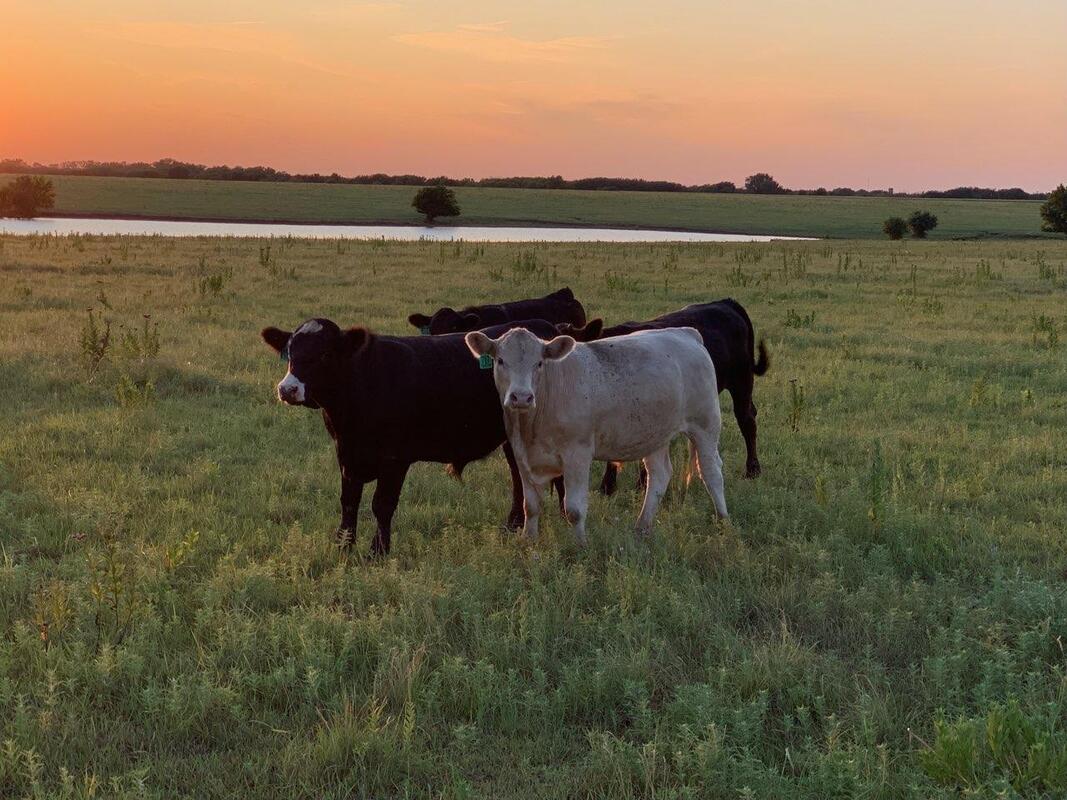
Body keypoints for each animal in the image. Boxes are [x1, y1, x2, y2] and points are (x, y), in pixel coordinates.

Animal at [261, 317, 563, 556]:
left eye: (324, 354)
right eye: (289, 353)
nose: (287, 389)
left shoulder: (395, 459)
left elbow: (382, 504)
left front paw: (378, 552)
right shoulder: (347, 454)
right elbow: (349, 502)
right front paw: (343, 546)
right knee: (518, 477)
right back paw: (511, 527)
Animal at [465, 326, 728, 544]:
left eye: (539, 363)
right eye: (500, 361)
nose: (521, 397)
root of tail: (685, 333)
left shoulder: (577, 453)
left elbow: (574, 509)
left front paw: (580, 546)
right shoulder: (521, 454)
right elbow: (531, 505)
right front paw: (528, 541)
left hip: (705, 424)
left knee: (711, 472)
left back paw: (723, 521)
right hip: (654, 434)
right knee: (659, 475)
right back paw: (641, 528)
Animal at [558, 298, 769, 493]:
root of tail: (726, 302)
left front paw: (638, 484)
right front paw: (608, 487)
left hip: (741, 382)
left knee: (747, 420)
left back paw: (752, 470)